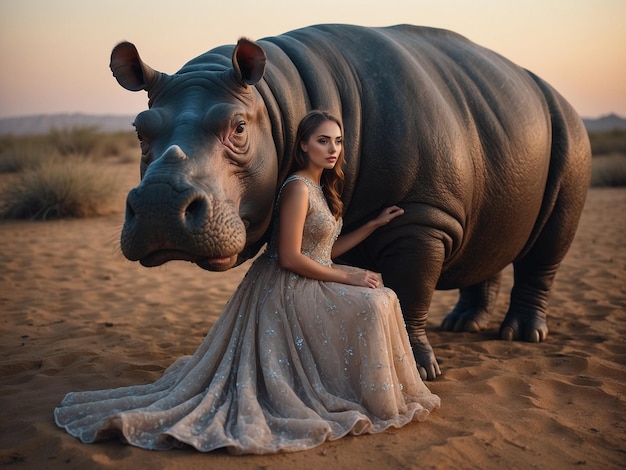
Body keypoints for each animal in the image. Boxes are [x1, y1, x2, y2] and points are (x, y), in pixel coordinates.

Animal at [111, 23, 588, 380]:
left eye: (239, 128)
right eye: (139, 131)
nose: (158, 204)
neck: (278, 103)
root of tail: (550, 90)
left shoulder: (423, 218)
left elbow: (411, 290)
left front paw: (420, 372)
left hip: (570, 132)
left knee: (547, 248)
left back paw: (522, 337)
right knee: (490, 241)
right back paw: (463, 325)